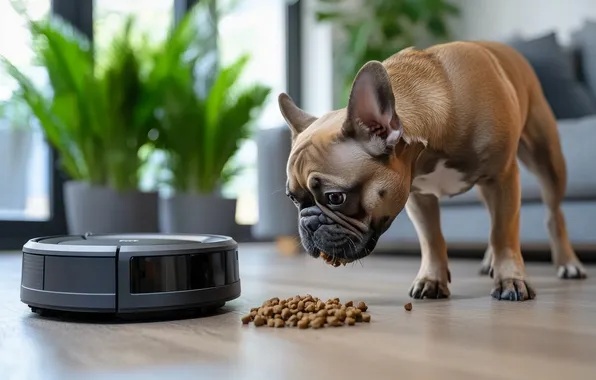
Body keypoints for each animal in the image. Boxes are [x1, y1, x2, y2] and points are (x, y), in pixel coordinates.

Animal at [278, 40, 588, 302]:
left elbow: (504, 232)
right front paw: (432, 280)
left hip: (545, 160)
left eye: (335, 198)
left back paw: (568, 263)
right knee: (493, 215)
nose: (308, 223)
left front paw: (510, 278)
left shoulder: (503, 177)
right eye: (292, 199)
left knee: (551, 214)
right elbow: (432, 238)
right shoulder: (417, 194)